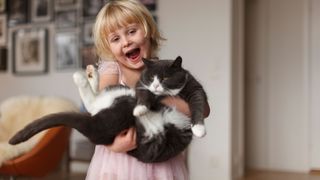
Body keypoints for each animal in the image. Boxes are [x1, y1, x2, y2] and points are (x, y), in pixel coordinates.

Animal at [9, 56, 208, 163]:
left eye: (166, 77)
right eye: (152, 78)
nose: (157, 86)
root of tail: (94, 127)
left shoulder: (195, 88)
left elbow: (200, 104)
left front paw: (199, 129)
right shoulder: (140, 86)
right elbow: (144, 95)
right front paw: (141, 108)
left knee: (94, 103)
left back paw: (87, 75)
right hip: (124, 96)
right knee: (94, 101)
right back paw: (87, 74)